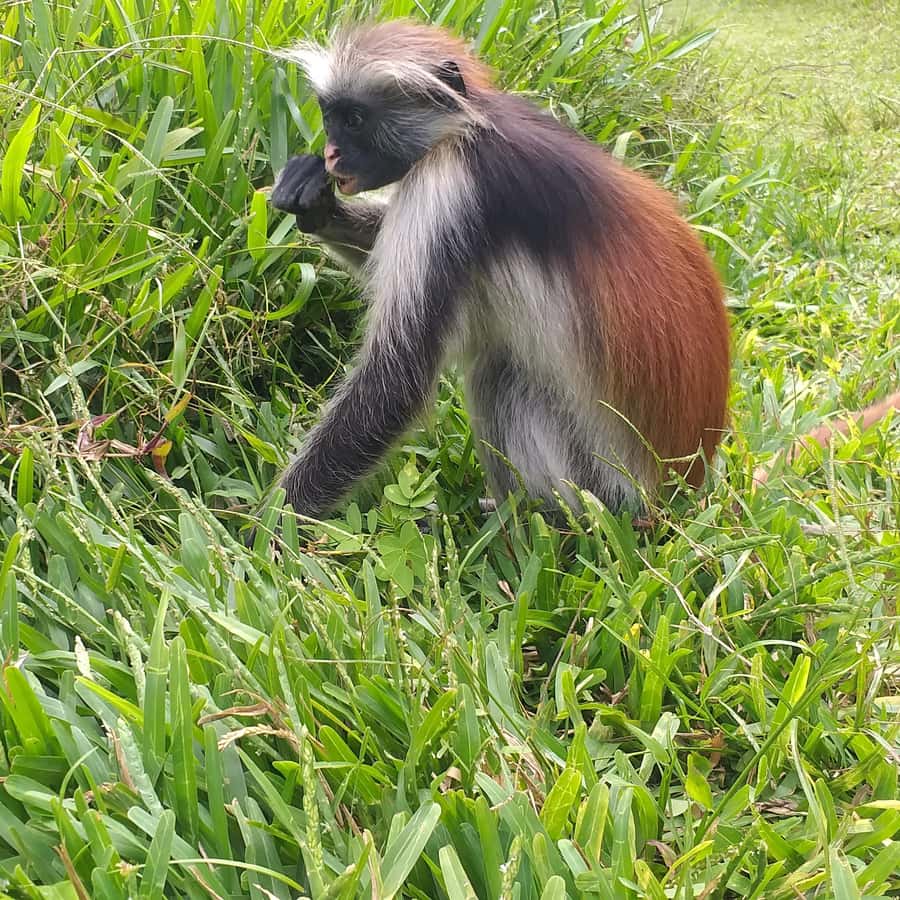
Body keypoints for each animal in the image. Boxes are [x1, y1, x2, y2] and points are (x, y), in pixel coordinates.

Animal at [266, 19, 733, 522]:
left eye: (354, 119)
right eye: (328, 116)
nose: (332, 154)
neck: (464, 127)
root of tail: (678, 494)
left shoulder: (450, 187)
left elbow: (394, 385)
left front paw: (261, 526)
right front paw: (316, 205)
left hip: (605, 489)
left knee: (498, 375)